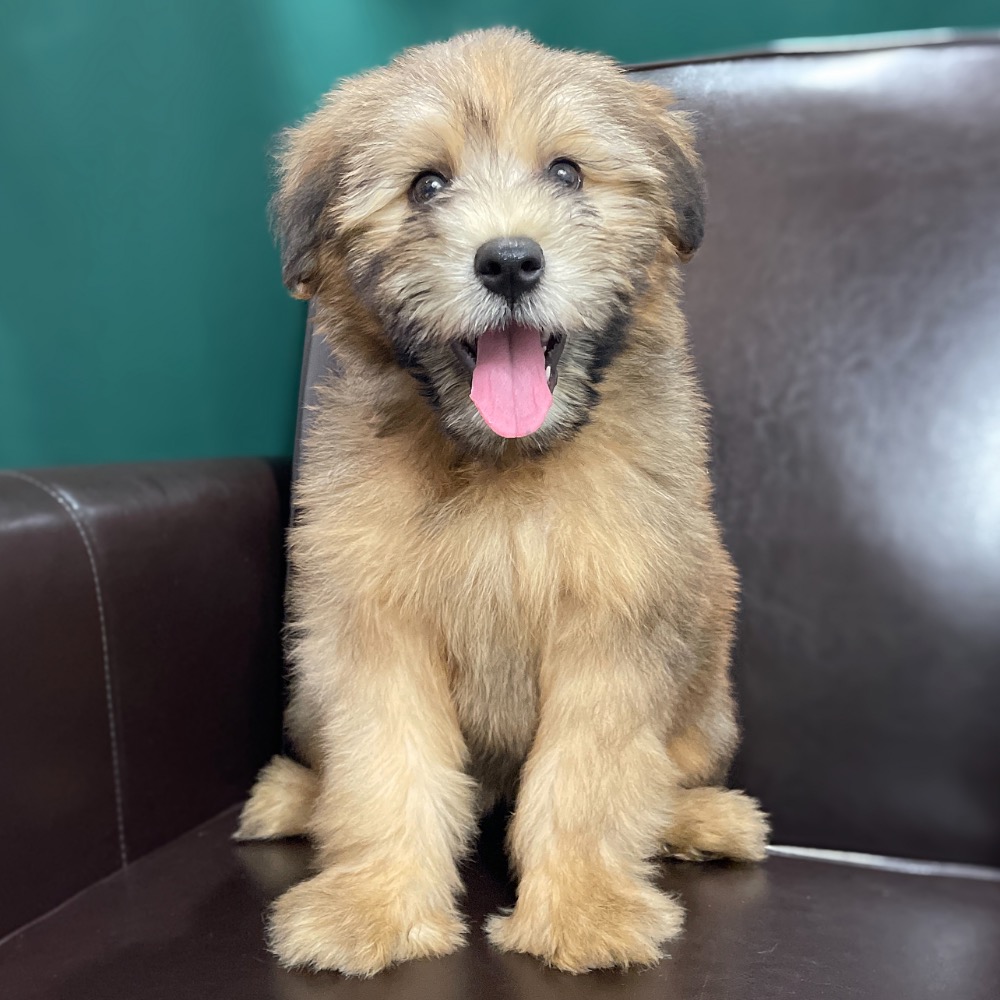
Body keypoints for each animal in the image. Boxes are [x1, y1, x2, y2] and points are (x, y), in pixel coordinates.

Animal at [238, 29, 768, 976]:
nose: (510, 260)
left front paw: (585, 907)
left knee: (664, 778)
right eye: (427, 185)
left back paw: (704, 821)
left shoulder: (614, 622)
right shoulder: (373, 626)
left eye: (566, 173)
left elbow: (590, 778)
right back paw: (295, 796)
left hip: (708, 694)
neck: (504, 466)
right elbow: (386, 768)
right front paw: (374, 905)